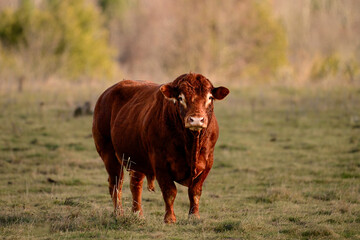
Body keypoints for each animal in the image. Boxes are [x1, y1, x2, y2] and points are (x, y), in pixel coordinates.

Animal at [92, 73, 228, 223]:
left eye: (210, 97)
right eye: (180, 98)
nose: (196, 120)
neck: (191, 143)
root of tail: (106, 94)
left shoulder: (208, 161)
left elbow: (195, 191)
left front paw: (194, 216)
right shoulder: (160, 162)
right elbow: (169, 191)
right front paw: (169, 218)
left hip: (137, 157)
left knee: (135, 185)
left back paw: (138, 214)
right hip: (109, 154)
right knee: (116, 184)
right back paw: (119, 213)